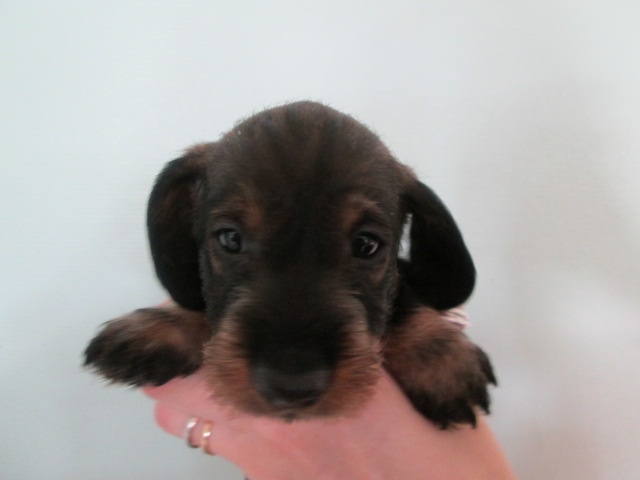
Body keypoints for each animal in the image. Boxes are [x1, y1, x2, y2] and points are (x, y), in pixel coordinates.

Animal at [84, 101, 495, 428]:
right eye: (230, 238)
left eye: (366, 245)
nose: (292, 386)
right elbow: (199, 302)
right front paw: (159, 327)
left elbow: (406, 299)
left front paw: (441, 359)